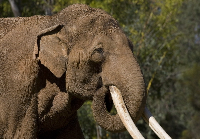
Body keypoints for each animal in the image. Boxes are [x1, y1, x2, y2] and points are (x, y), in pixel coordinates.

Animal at [0, 3, 172, 138]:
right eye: (98, 51)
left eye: (132, 46)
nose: (105, 89)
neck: (52, 21)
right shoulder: (17, 87)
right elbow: (17, 134)